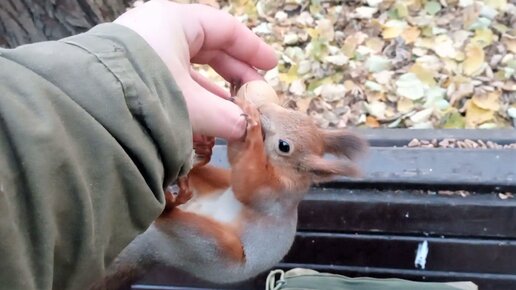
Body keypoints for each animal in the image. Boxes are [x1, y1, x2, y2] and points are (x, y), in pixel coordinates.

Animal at [90, 80, 368, 288]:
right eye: (294, 112)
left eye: (284, 146)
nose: (264, 110)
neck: (287, 171)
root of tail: (158, 249)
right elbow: (236, 159)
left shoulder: (273, 194)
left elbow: (247, 183)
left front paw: (253, 129)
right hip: (215, 185)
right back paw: (198, 160)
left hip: (213, 248)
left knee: (175, 220)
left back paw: (168, 206)